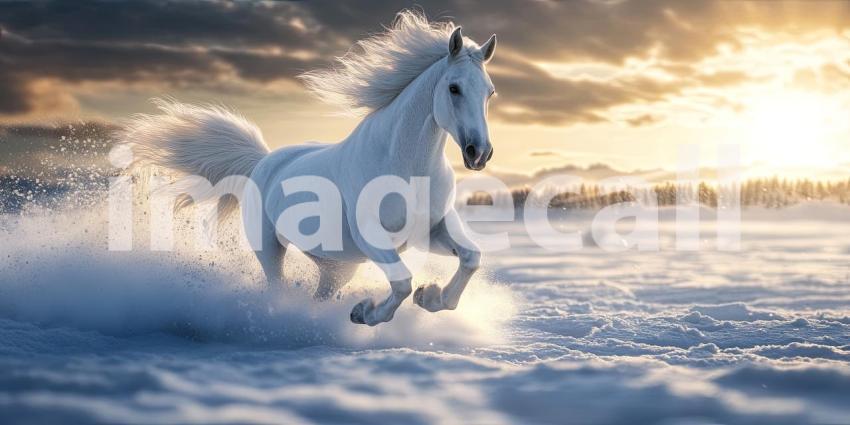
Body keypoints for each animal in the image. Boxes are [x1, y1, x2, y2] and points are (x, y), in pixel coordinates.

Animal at [121, 11, 498, 326]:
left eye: (490, 92)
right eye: (453, 88)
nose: (479, 153)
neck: (406, 167)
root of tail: (263, 161)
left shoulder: (431, 229)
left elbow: (471, 258)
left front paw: (430, 297)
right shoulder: (372, 236)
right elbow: (403, 283)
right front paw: (365, 313)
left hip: (337, 266)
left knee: (320, 294)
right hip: (269, 248)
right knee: (277, 287)